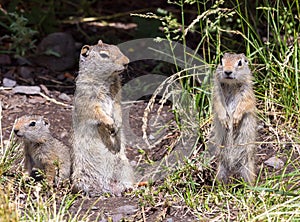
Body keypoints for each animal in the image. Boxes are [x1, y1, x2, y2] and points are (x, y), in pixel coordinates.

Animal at [71, 40, 134, 196]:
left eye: (116, 47)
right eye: (104, 55)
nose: (127, 62)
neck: (105, 79)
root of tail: (106, 188)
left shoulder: (116, 97)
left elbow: (117, 108)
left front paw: (117, 124)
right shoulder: (88, 101)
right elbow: (97, 113)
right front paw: (110, 123)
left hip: (124, 167)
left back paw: (128, 188)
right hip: (81, 176)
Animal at [210, 53, 256, 185]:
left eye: (240, 63)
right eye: (221, 61)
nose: (228, 71)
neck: (231, 84)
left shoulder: (247, 93)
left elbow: (245, 104)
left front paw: (235, 119)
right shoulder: (216, 93)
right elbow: (218, 105)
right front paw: (225, 120)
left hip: (247, 165)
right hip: (221, 167)